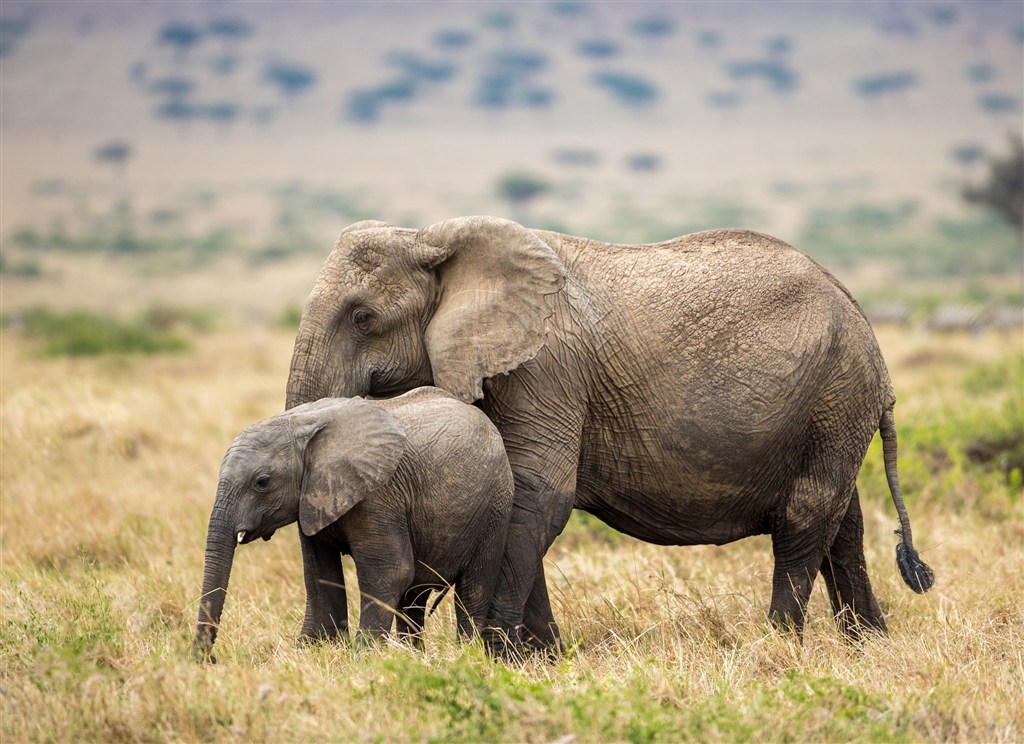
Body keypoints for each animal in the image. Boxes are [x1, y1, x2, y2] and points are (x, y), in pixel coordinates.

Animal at [192, 386, 512, 659]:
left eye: (262, 482)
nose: (209, 660)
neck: (301, 424)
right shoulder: (314, 499)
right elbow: (320, 574)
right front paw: (308, 651)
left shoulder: (378, 494)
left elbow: (391, 571)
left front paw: (363, 658)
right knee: (414, 598)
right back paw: (414, 654)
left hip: (496, 506)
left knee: (472, 589)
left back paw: (466, 655)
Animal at [284, 213, 933, 650]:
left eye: (363, 317)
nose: (314, 646)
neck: (433, 236)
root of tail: (860, 314)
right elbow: (514, 493)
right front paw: (540, 659)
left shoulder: (544, 366)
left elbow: (538, 493)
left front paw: (497, 657)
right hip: (831, 407)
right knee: (842, 522)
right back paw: (868, 648)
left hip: (836, 391)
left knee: (807, 513)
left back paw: (780, 647)